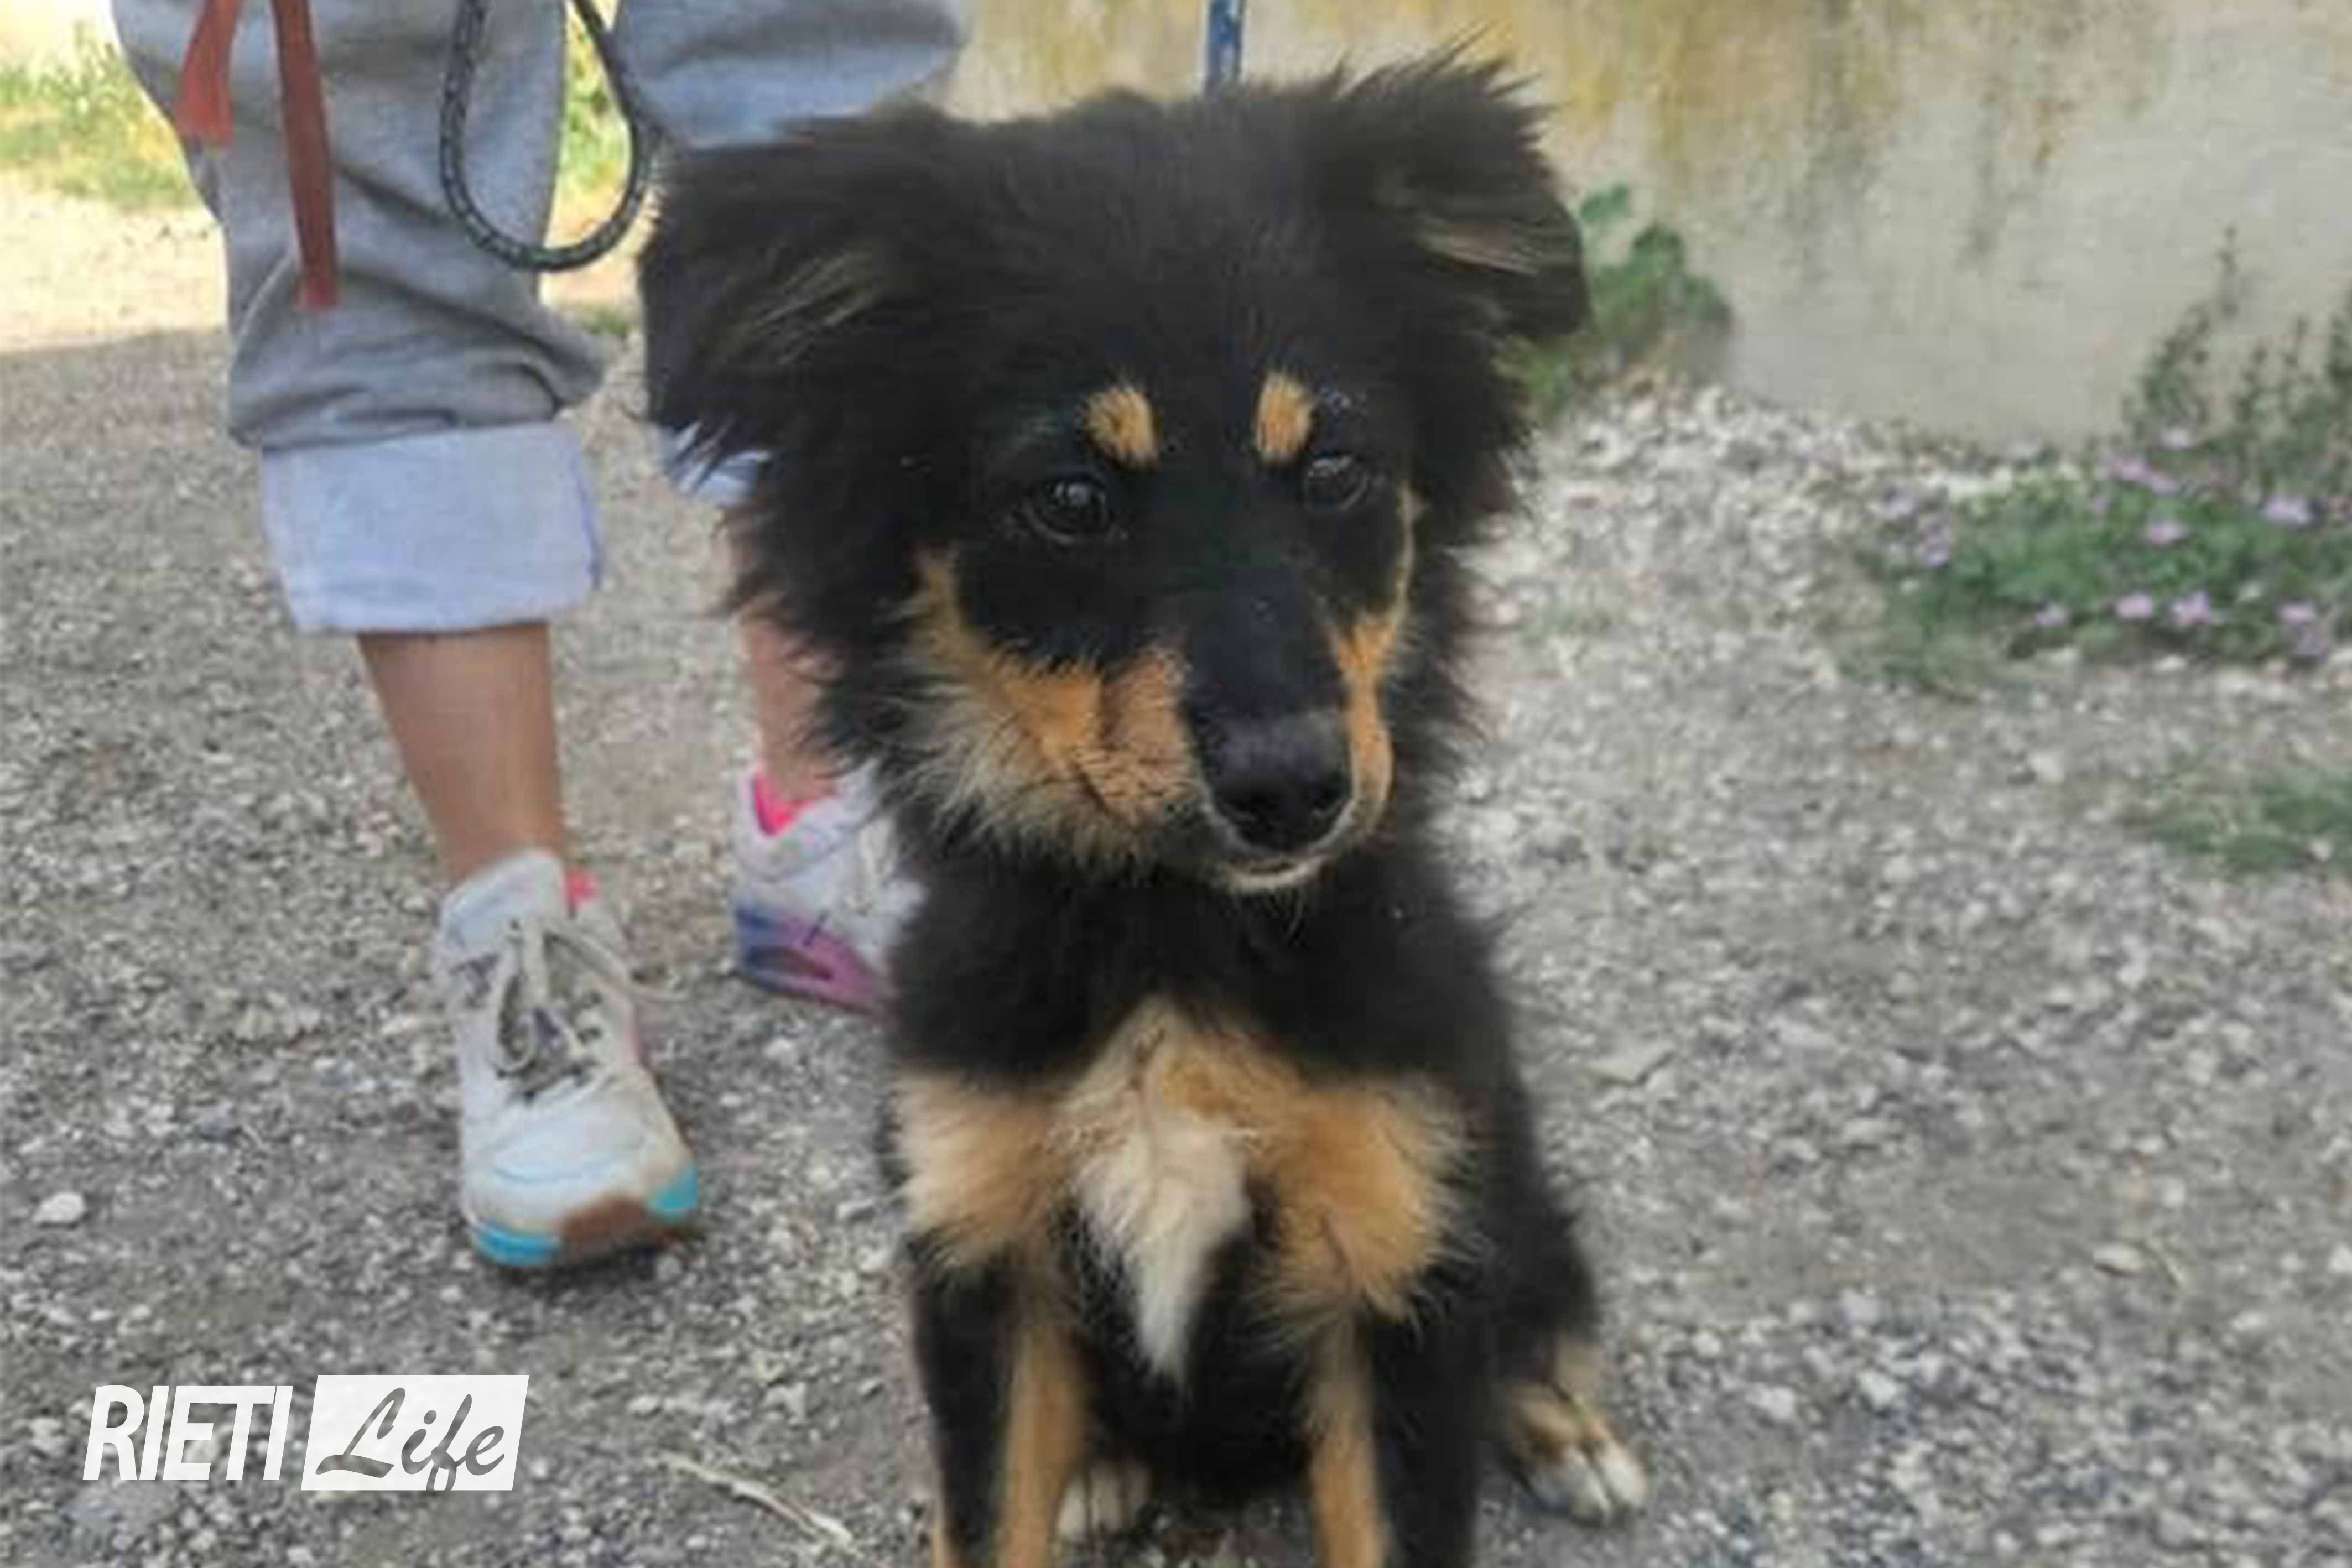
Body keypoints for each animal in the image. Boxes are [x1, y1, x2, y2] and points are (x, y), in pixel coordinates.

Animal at [641, 57, 1647, 1568]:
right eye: (1068, 498)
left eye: (1336, 468)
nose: (1294, 790)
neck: (1168, 942)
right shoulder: (979, 1248)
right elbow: (984, 1512)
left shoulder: (1395, 1253)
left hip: (1502, 1184)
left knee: (1542, 1305)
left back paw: (1560, 1427)